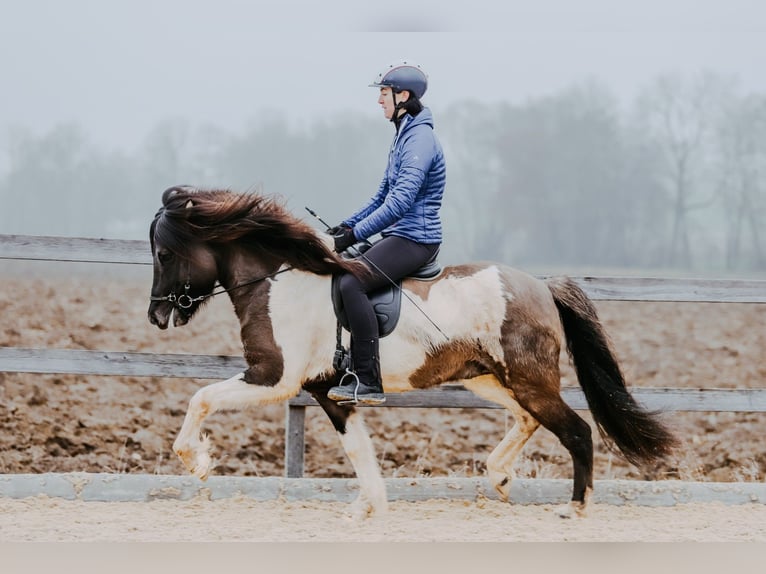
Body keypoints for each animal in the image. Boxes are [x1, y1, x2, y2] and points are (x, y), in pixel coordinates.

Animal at [147, 185, 678, 519]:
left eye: (164, 253)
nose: (156, 315)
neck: (278, 282)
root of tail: (540, 287)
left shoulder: (274, 377)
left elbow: (201, 398)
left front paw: (197, 463)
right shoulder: (326, 391)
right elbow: (358, 449)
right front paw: (369, 507)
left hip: (528, 380)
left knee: (577, 431)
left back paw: (575, 507)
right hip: (489, 379)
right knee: (527, 420)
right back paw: (501, 477)